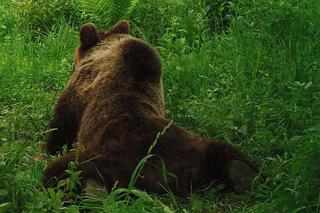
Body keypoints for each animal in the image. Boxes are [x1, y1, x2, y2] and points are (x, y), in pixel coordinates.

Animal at [43, 20, 258, 195]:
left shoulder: (79, 90)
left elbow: (61, 124)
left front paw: (51, 145)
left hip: (99, 156)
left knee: (60, 169)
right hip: (192, 148)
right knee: (220, 151)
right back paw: (243, 173)